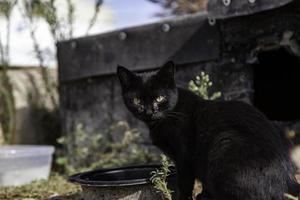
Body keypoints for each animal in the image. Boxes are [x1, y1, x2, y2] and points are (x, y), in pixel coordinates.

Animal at [117, 61, 300, 200]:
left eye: (160, 98)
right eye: (137, 100)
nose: (149, 111)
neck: (166, 118)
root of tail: (288, 183)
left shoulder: (184, 158)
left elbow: (185, 184)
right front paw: (203, 195)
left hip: (224, 142)